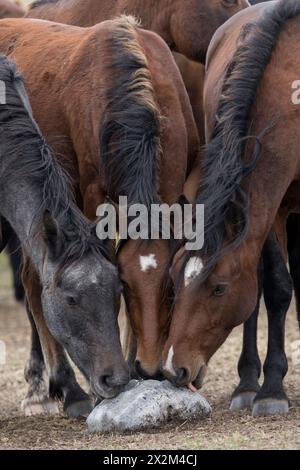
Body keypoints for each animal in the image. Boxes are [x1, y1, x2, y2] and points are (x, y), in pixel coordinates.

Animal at [163, 0, 300, 412]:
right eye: (173, 279)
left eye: (218, 289)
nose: (174, 369)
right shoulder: (271, 210)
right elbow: (270, 285)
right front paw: (263, 385)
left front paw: (272, 388)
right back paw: (248, 382)